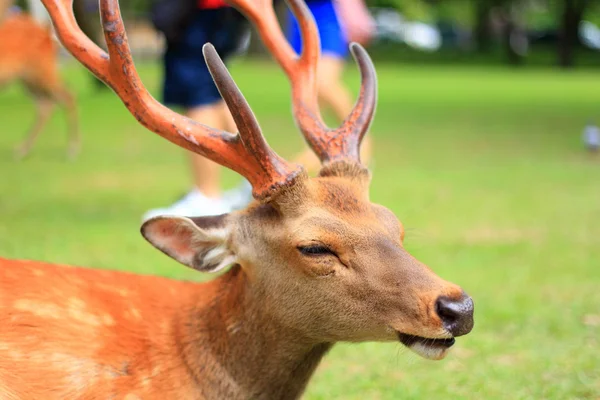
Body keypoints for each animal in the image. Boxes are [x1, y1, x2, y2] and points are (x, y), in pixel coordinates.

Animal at [0, 4, 79, 159]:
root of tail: (48, 34)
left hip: (42, 70)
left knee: (68, 95)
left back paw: (72, 150)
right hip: (30, 79)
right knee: (46, 105)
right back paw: (22, 150)